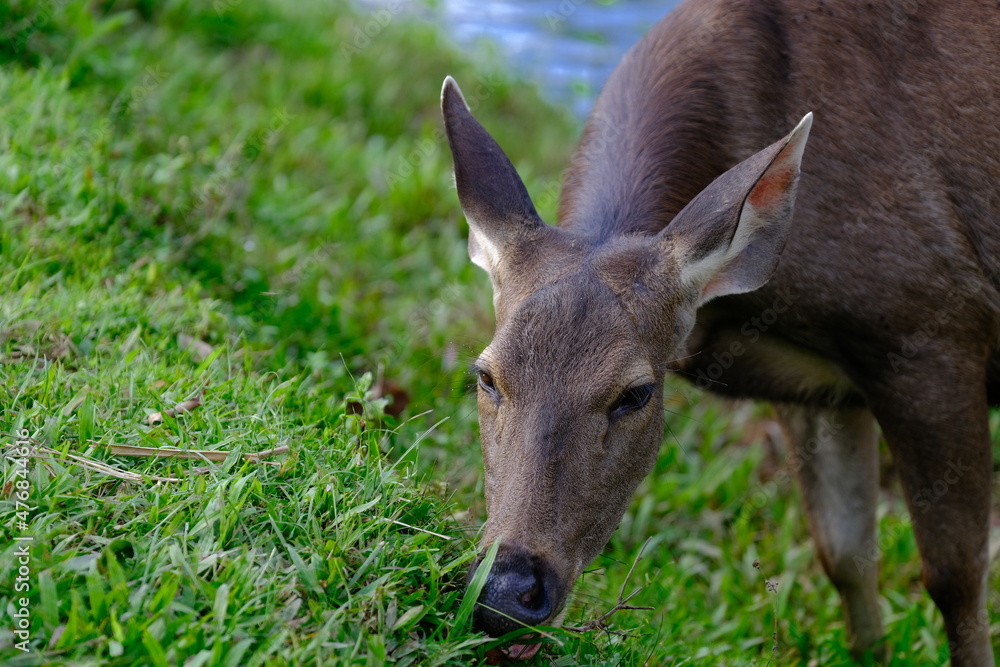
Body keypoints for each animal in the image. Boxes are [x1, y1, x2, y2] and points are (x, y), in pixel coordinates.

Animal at [440, 0, 999, 664]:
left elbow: (956, 575)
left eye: (636, 393)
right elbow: (847, 557)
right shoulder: (818, 387)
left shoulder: (932, 328)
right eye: (486, 375)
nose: (506, 591)